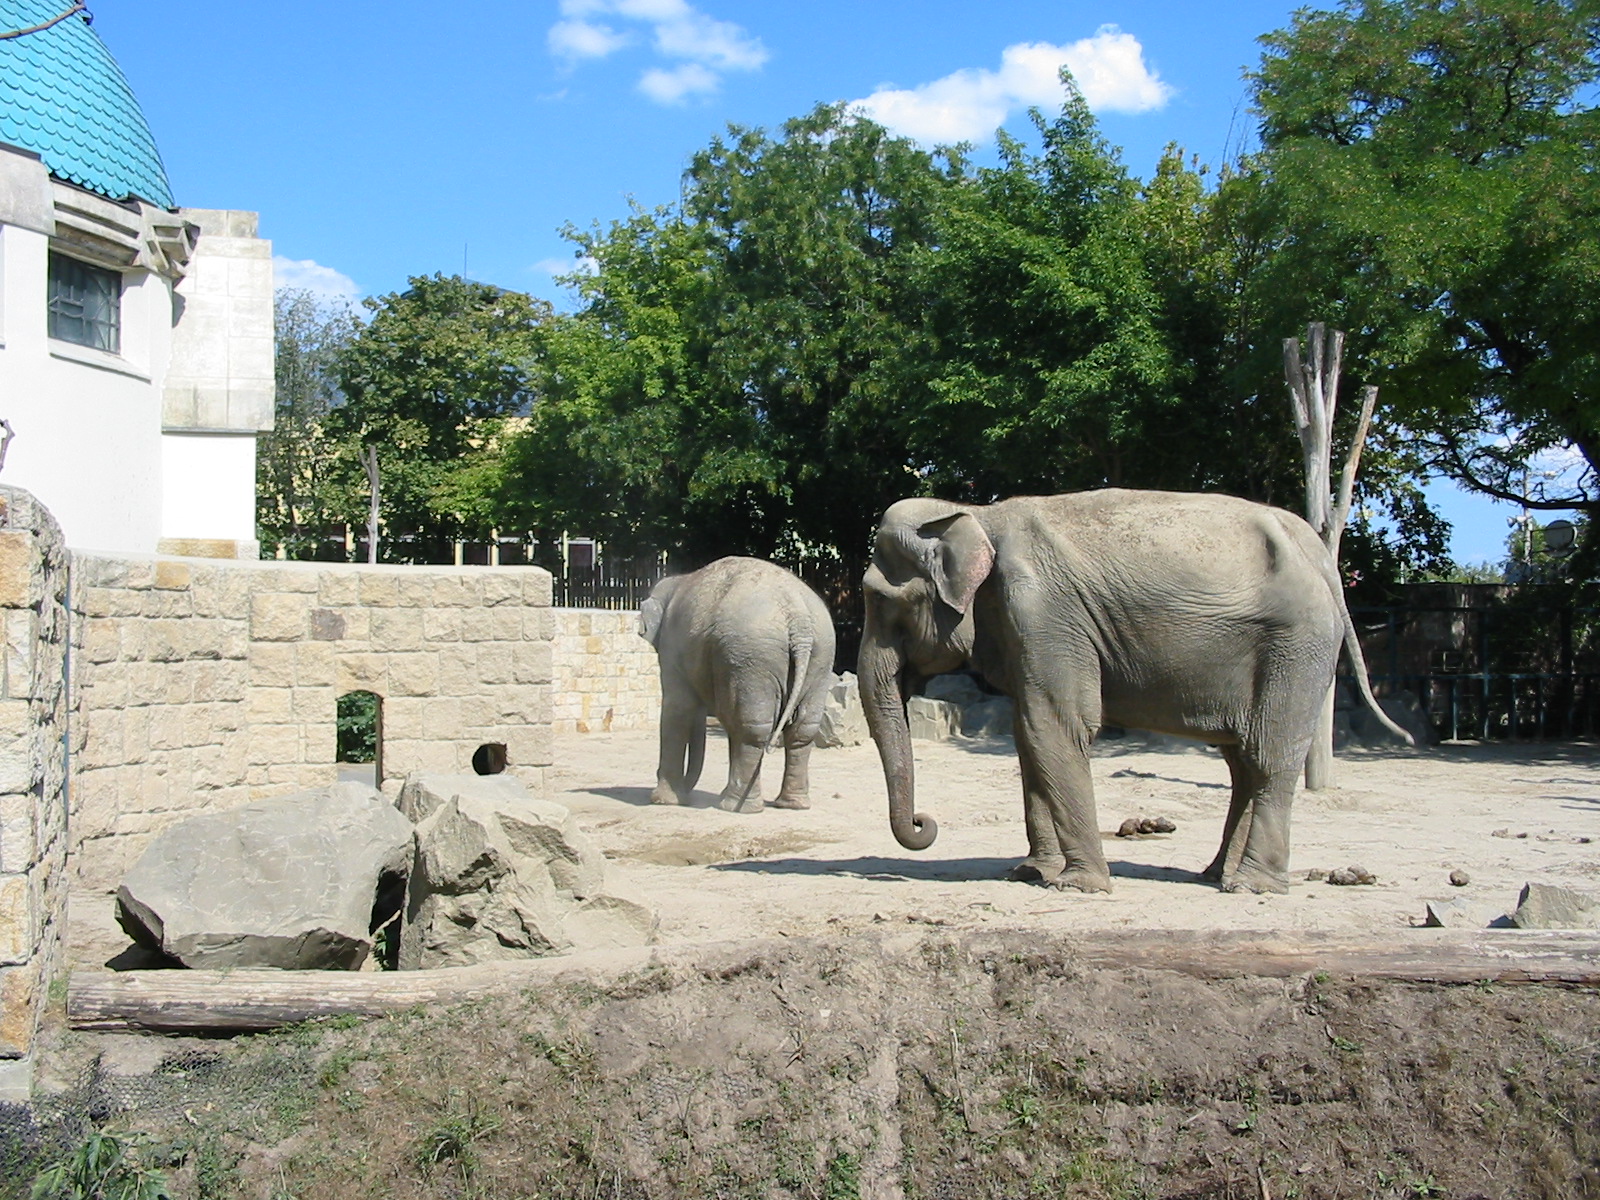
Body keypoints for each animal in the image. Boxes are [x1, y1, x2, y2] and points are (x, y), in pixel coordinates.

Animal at [640, 557, 837, 813]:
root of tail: (798, 617)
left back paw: (737, 807)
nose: (687, 793)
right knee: (801, 729)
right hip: (819, 657)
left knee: (751, 727)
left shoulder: (672, 648)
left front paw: (662, 800)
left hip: (754, 656)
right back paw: (791, 804)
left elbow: (678, 708)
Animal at [858, 489, 1411, 895]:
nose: (924, 822)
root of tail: (1321, 554)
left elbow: (1053, 727)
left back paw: (1253, 886)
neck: (979, 514)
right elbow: (1027, 733)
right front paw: (1030, 874)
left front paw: (1078, 887)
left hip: (1298, 646)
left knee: (1270, 756)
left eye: (879, 600)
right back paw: (1218, 876)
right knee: (1243, 763)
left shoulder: (1044, 611)